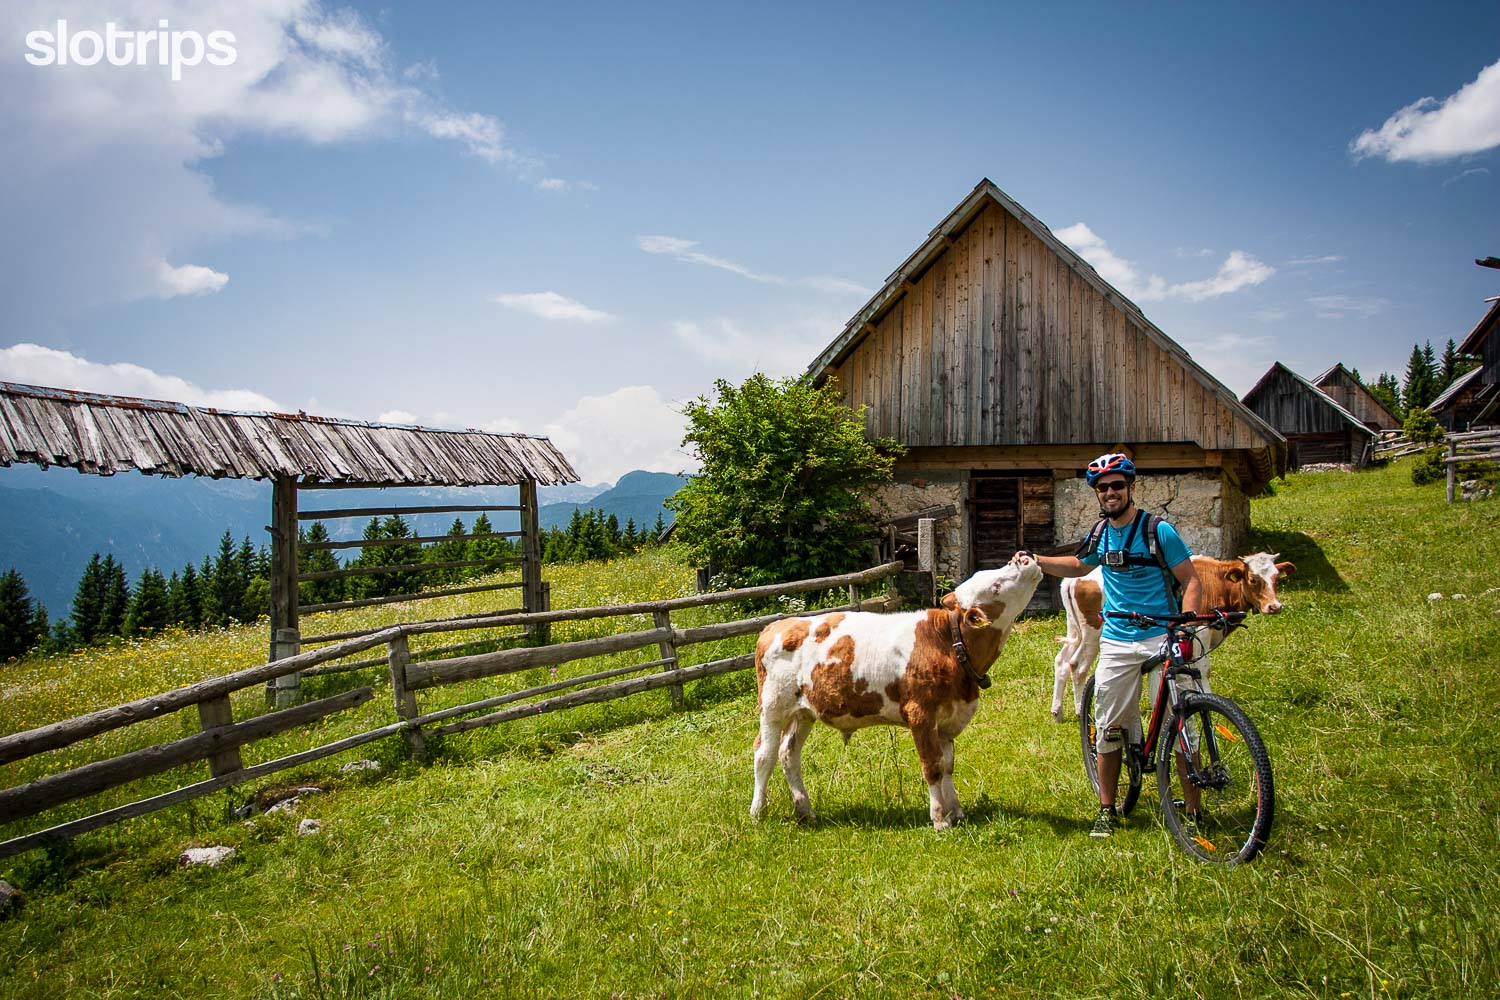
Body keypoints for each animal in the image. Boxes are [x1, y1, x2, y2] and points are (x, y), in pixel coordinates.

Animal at [750, 554, 1044, 827]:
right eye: (996, 586)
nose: (1022, 557)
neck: (948, 644)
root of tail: (777, 625)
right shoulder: (921, 714)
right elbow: (932, 766)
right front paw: (940, 819)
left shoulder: (948, 720)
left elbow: (947, 766)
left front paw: (956, 812)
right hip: (773, 706)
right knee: (764, 754)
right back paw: (757, 813)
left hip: (803, 712)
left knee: (788, 754)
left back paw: (806, 811)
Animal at [1050, 551, 1296, 722]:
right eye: (1253, 579)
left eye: (1276, 578)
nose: (1275, 606)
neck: (1216, 582)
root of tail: (1074, 580)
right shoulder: (1200, 629)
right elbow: (1204, 668)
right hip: (1092, 633)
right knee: (1077, 666)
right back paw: (1080, 710)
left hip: (1076, 630)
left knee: (1062, 661)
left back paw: (1058, 712)